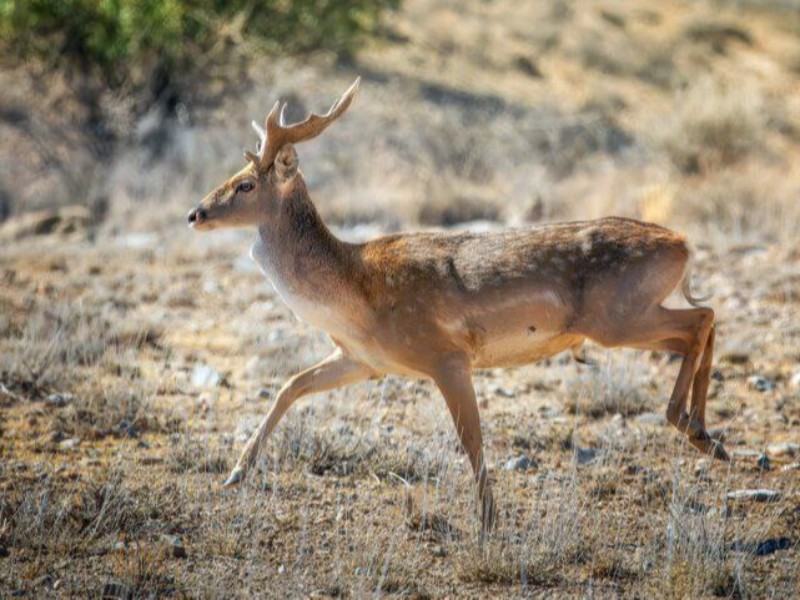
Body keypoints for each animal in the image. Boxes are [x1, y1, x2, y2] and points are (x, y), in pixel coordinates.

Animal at [188, 77, 732, 532]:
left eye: (245, 183)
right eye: (234, 173)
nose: (195, 213)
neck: (357, 296)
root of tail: (685, 245)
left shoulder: (446, 354)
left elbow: (471, 437)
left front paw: (489, 522)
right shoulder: (365, 360)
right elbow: (290, 385)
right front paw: (234, 474)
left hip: (617, 317)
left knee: (701, 319)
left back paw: (693, 428)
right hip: (626, 317)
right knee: (703, 321)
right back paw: (707, 435)